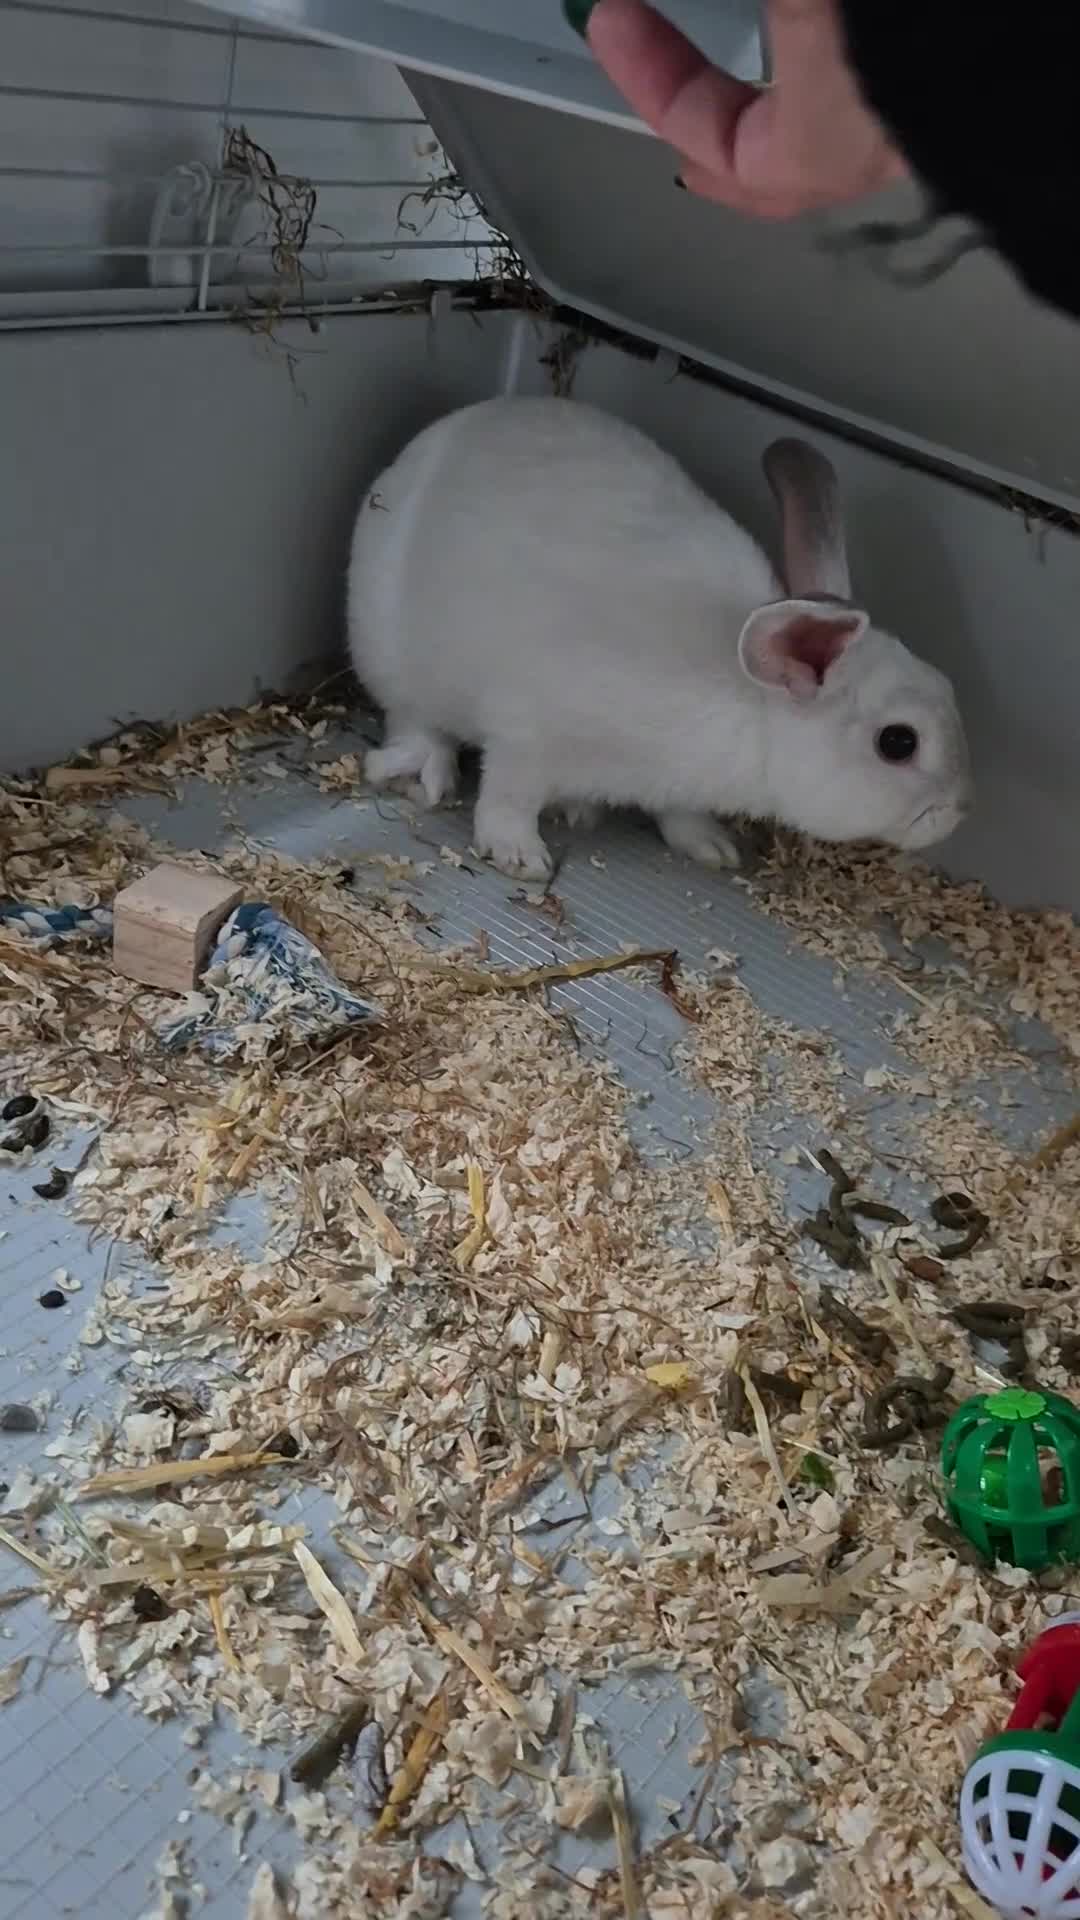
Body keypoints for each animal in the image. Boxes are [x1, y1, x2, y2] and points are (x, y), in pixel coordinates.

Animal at [347, 396, 972, 883]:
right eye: (898, 742)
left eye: (949, 687)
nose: (958, 811)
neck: (750, 704)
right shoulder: (529, 738)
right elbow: (508, 796)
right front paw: (519, 856)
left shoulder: (675, 783)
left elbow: (680, 812)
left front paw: (712, 848)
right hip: (391, 661)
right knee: (416, 723)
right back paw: (428, 769)